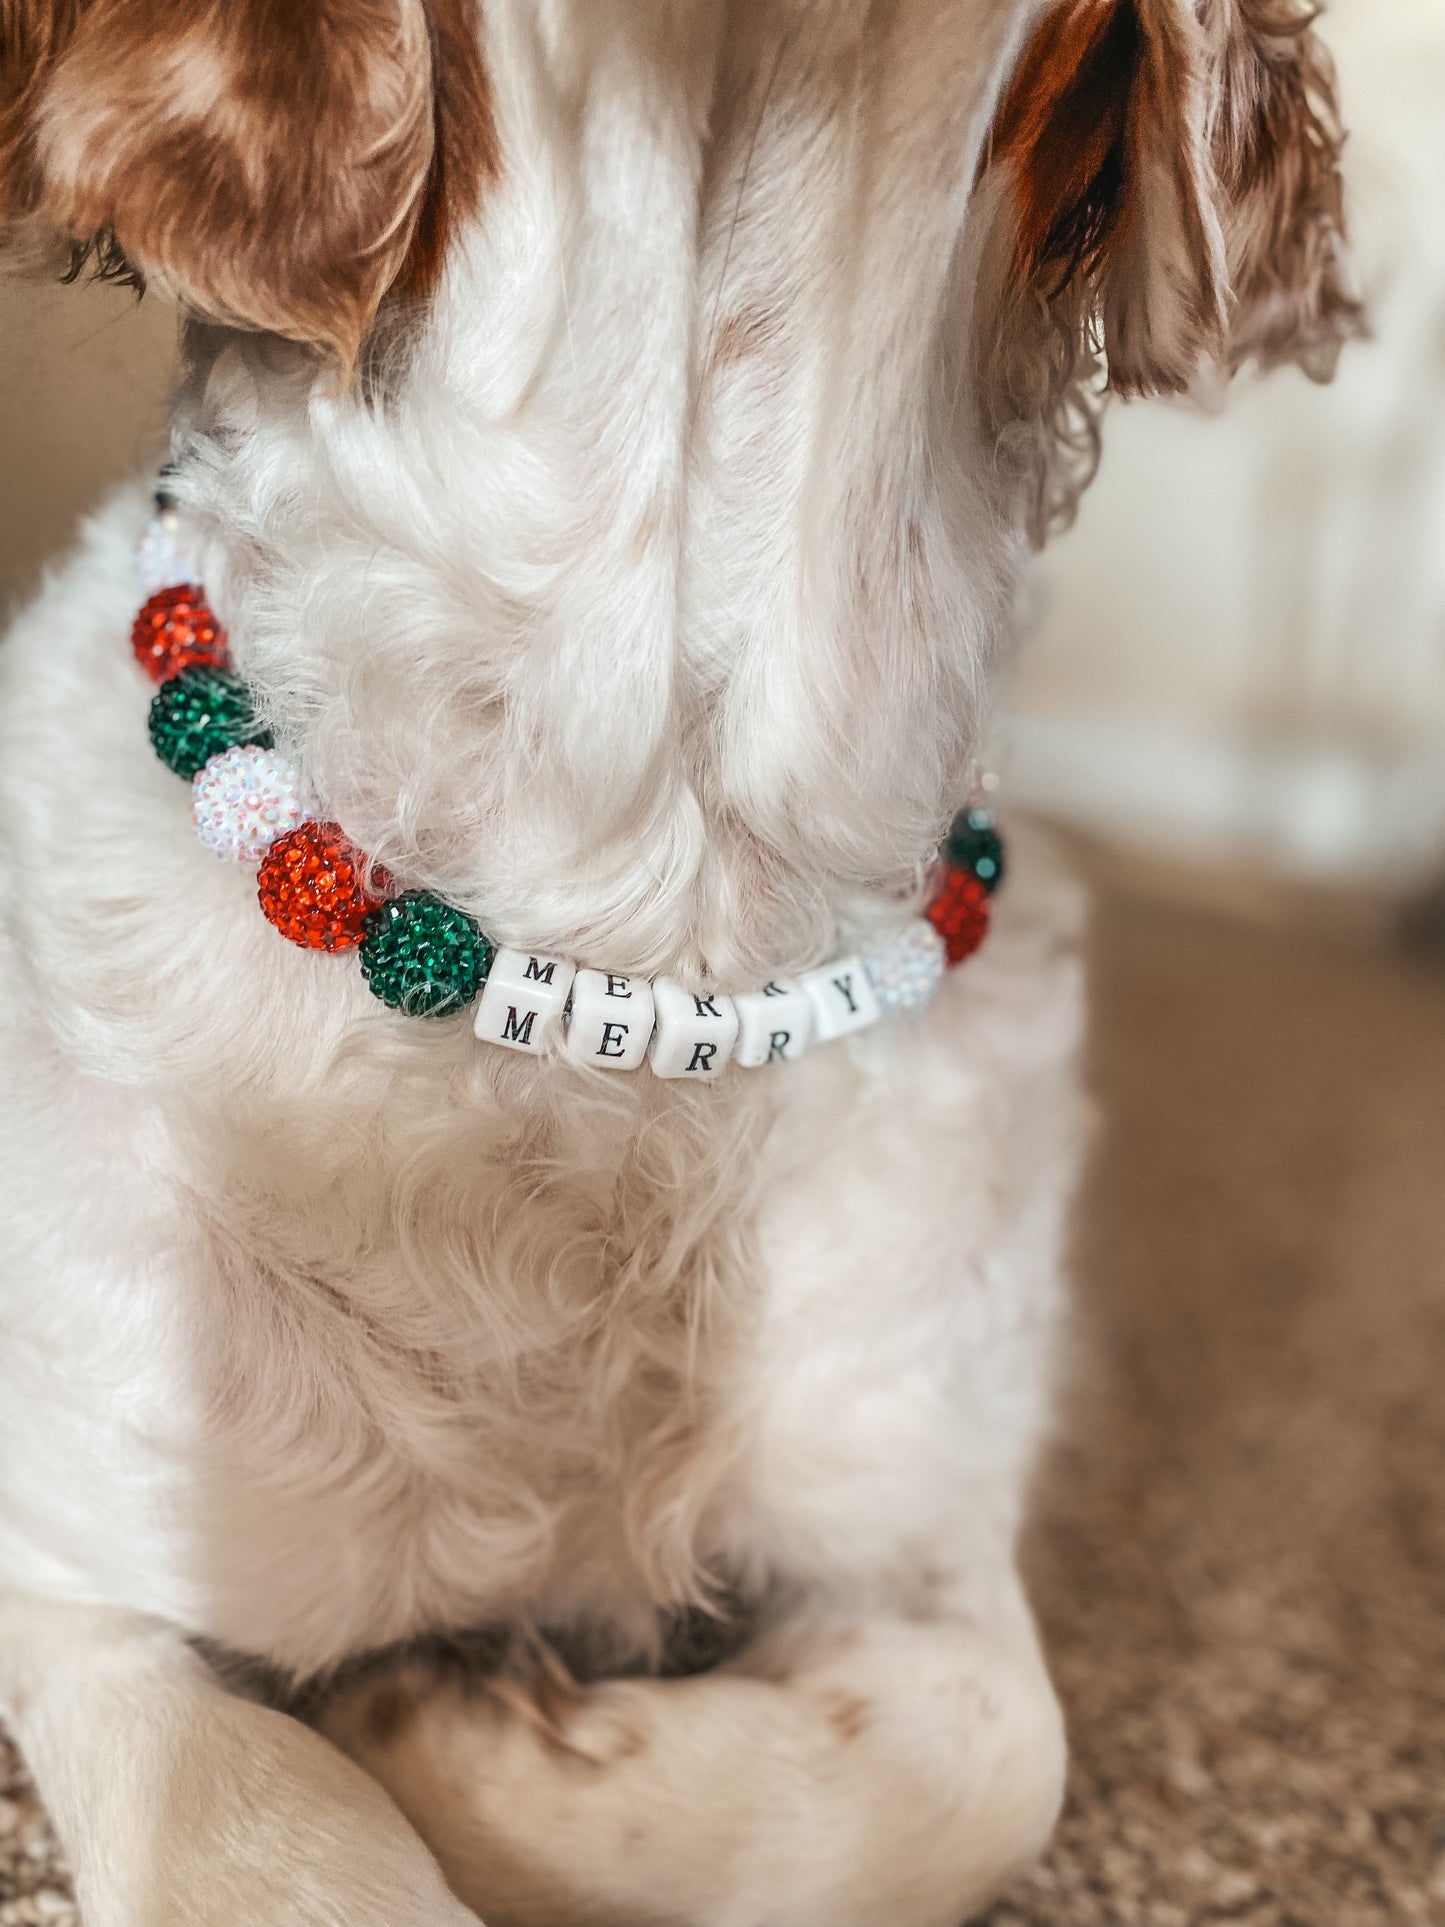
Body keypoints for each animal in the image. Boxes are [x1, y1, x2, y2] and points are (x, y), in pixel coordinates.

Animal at [0, 3, 1356, 1927]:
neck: (653, 852)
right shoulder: (82, 1557)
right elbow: (284, 1833)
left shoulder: (911, 1516)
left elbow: (983, 1761)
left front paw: (451, 1711)